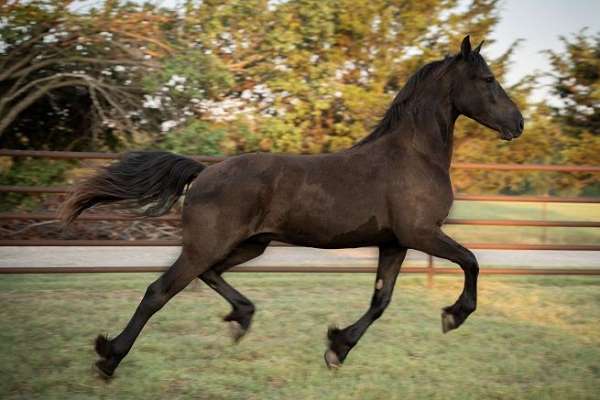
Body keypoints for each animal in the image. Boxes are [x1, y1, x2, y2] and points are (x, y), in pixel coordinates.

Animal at [58, 36, 524, 376]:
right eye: (486, 78)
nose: (518, 124)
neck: (414, 155)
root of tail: (204, 172)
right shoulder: (421, 233)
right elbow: (471, 261)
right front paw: (454, 316)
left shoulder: (395, 243)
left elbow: (381, 301)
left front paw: (337, 348)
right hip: (210, 245)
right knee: (159, 291)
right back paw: (108, 358)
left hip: (248, 245)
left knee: (208, 275)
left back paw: (241, 317)